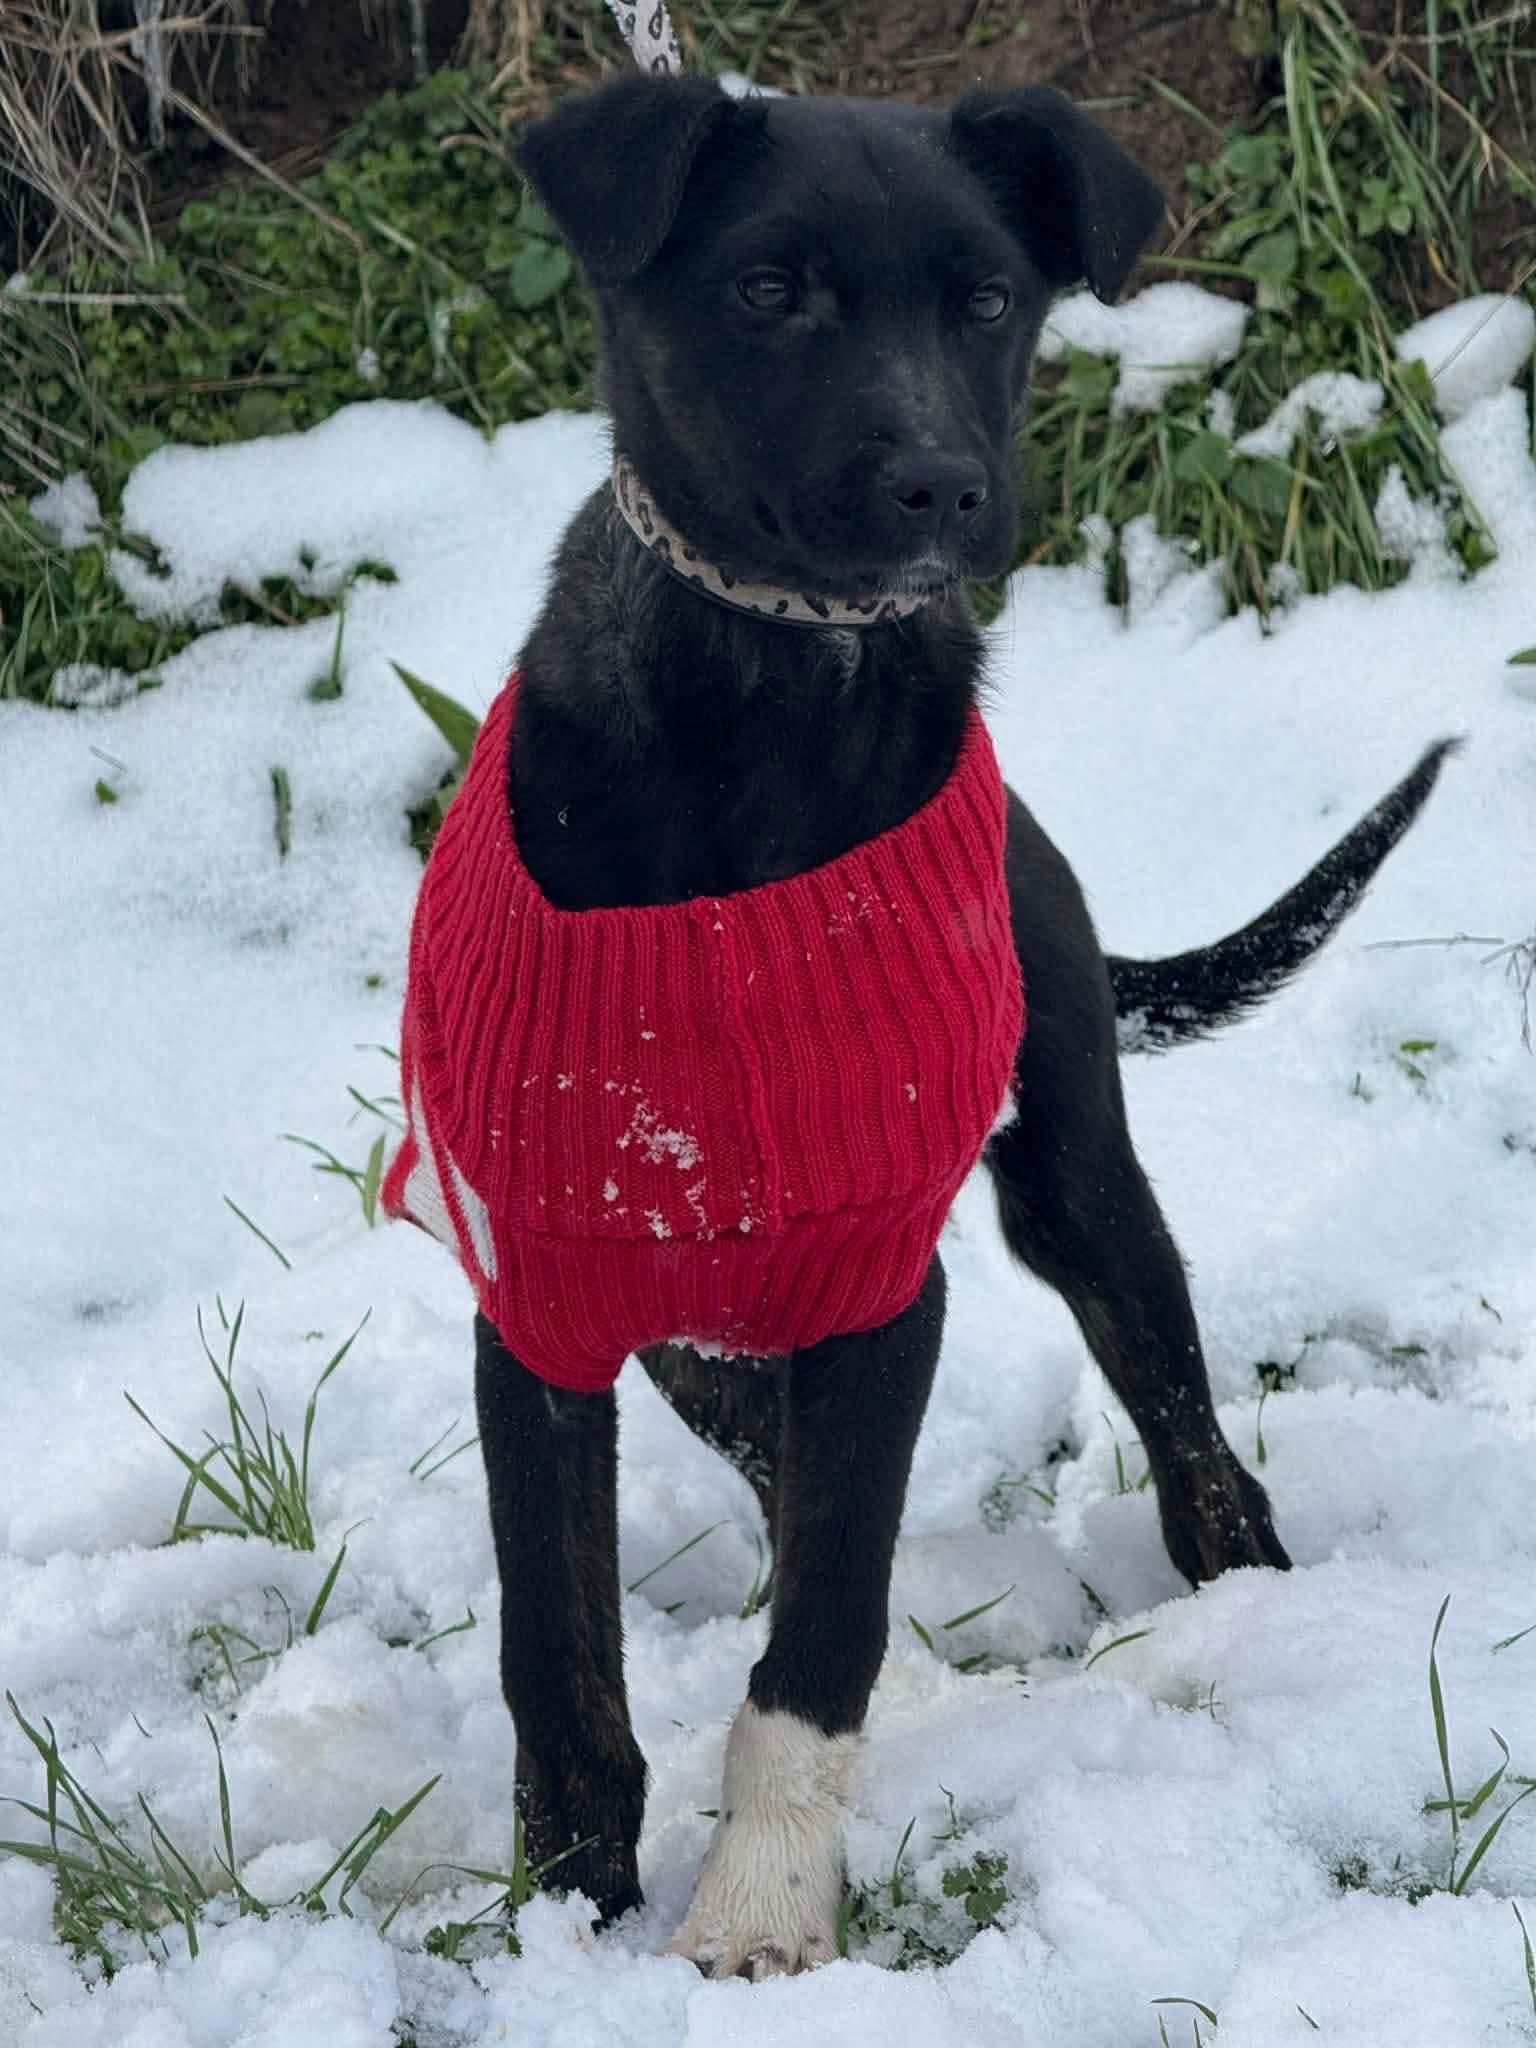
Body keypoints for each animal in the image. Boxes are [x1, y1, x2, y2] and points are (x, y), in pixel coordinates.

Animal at [383, 72, 1453, 1980]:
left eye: (988, 300)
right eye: (766, 290)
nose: (942, 486)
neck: (764, 707)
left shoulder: (888, 1284)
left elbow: (819, 1637)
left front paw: (755, 1913)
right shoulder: (542, 1308)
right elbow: (558, 1661)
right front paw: (568, 1920)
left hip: (1082, 1190)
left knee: (1188, 1446)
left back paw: (1256, 1613)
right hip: (691, 1324)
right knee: (769, 1449)